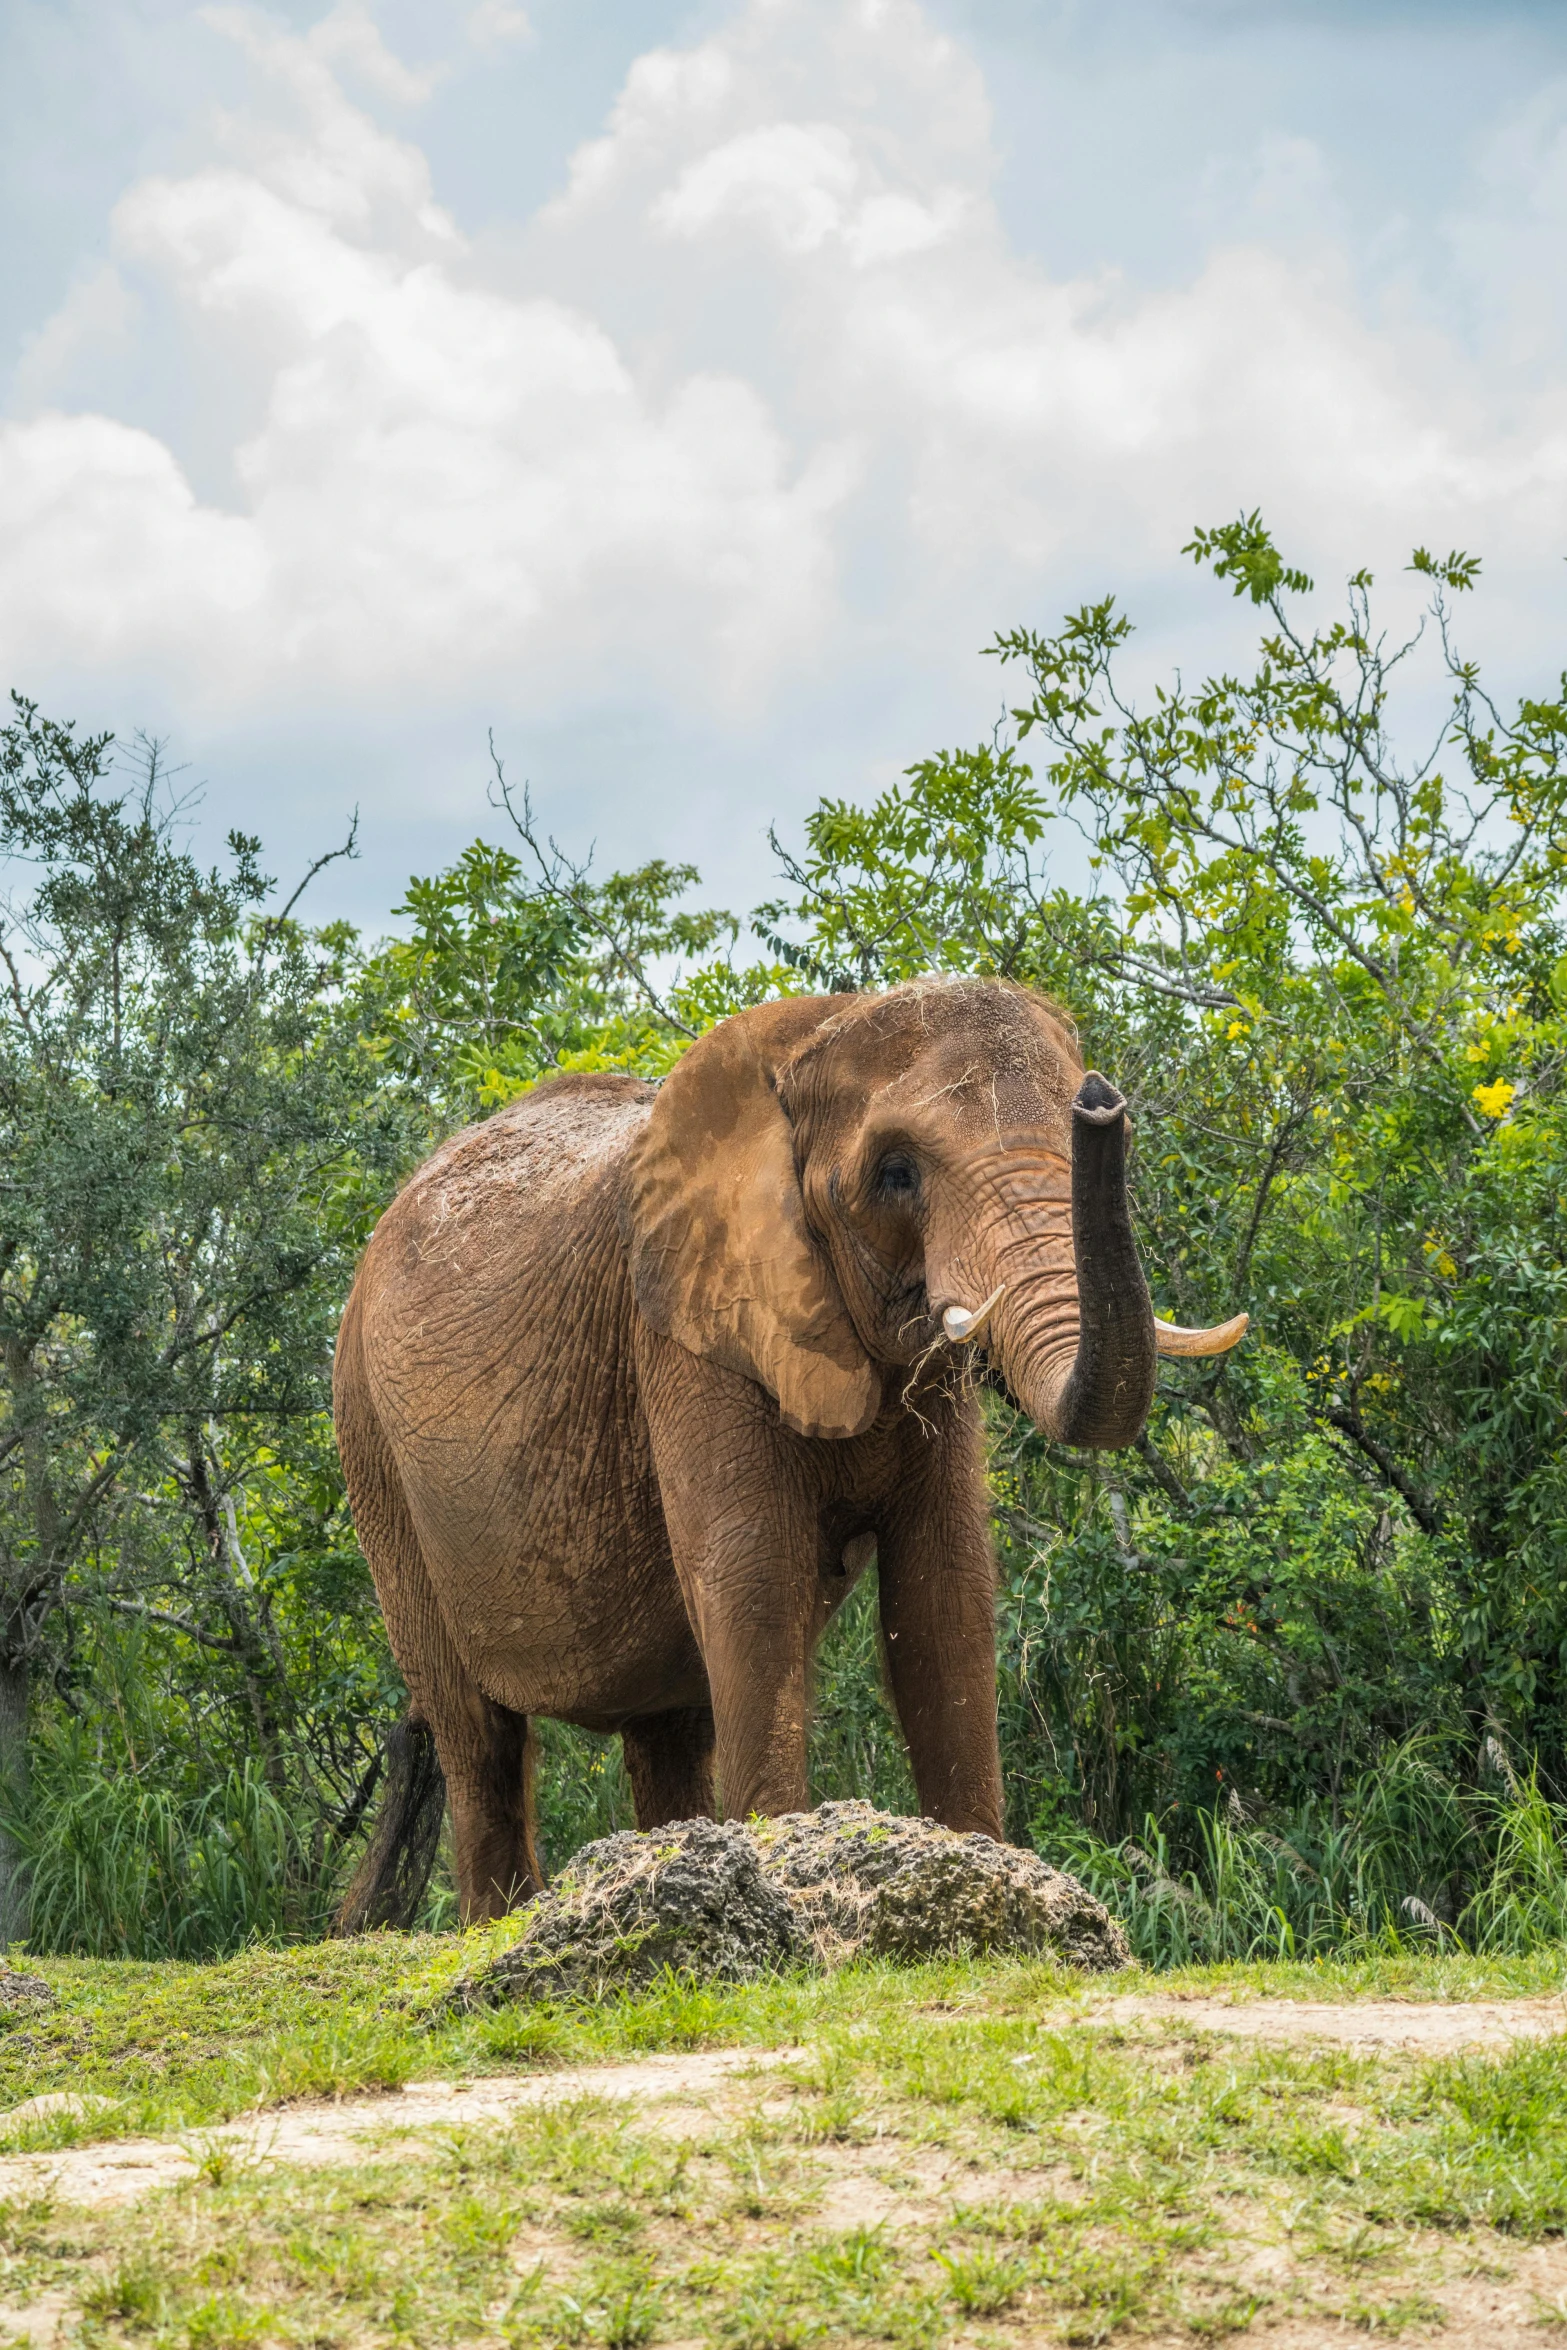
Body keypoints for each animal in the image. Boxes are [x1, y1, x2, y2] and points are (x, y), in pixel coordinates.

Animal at [338, 982, 1240, 1917]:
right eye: (896, 1173)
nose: (1100, 1103)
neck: (815, 1033)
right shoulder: (687, 1329)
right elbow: (753, 1575)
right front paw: (776, 1879)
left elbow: (943, 1587)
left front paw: (983, 1876)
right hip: (371, 1446)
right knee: (480, 1738)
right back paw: (509, 1919)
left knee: (670, 1724)